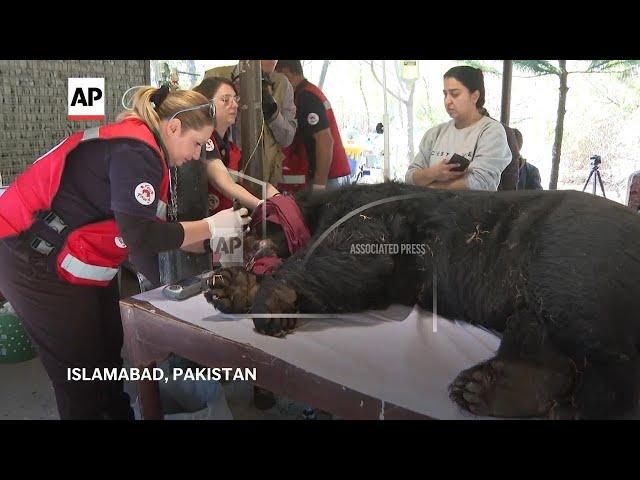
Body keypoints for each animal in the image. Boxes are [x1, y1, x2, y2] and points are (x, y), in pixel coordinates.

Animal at [205, 182, 640, 418]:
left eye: (251, 226)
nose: (227, 245)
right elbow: (352, 284)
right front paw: (231, 287)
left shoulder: (364, 215)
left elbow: (359, 254)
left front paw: (267, 297)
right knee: (534, 329)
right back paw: (497, 386)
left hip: (572, 251)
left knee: (592, 336)